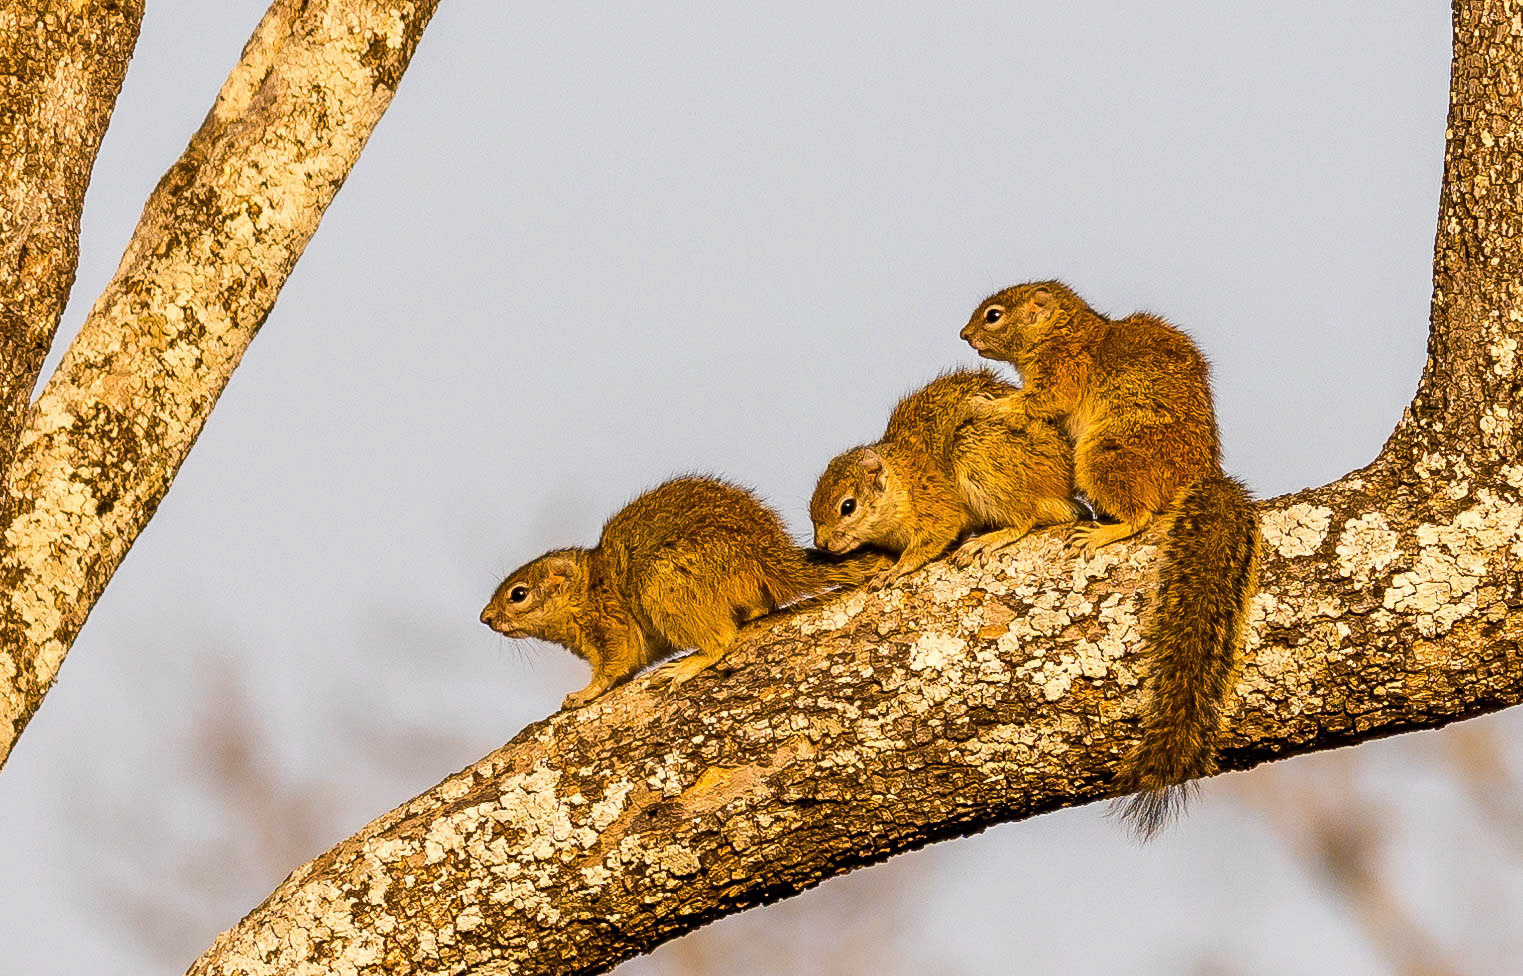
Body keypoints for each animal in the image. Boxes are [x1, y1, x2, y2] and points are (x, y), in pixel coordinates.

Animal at [481, 475, 884, 710]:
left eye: (518, 594)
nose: (485, 618)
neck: (589, 589)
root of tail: (769, 553)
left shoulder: (610, 628)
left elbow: (612, 668)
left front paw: (583, 693)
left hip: (662, 583)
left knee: (721, 640)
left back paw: (684, 667)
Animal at [810, 369, 1079, 587]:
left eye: (848, 506)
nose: (821, 543)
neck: (904, 482)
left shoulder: (937, 506)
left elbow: (928, 542)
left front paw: (895, 570)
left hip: (979, 457)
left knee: (1024, 520)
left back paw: (986, 541)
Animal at [959, 280, 1261, 838]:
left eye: (993, 315)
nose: (964, 335)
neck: (1070, 331)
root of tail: (1199, 478)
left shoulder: (1061, 370)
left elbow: (1036, 402)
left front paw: (989, 402)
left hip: (1106, 454)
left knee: (1141, 516)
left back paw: (1104, 531)